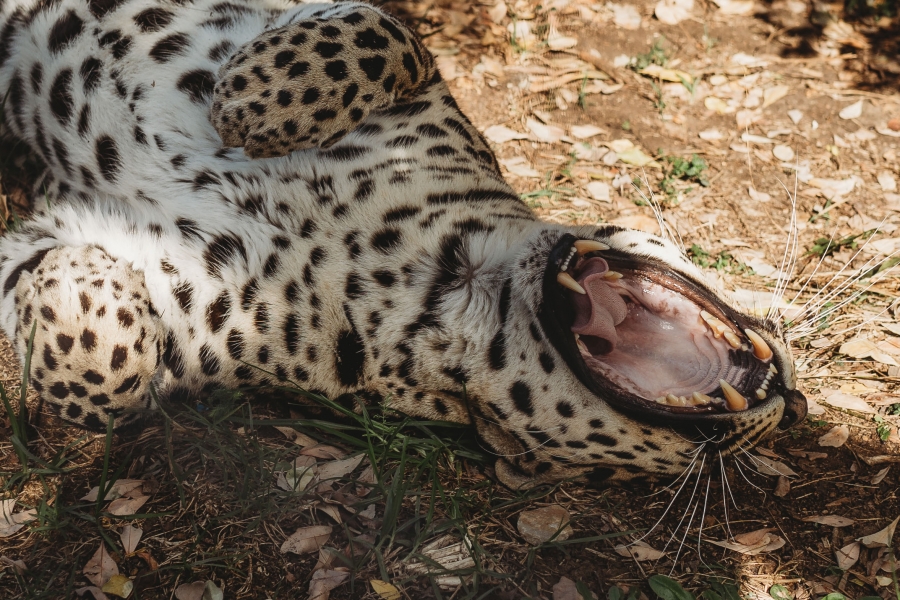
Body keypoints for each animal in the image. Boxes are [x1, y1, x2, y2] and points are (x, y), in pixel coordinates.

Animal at [0, 0, 804, 488]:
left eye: (689, 464)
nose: (794, 406)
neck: (455, 278)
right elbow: (388, 34)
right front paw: (255, 98)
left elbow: (104, 381)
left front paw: (78, 287)